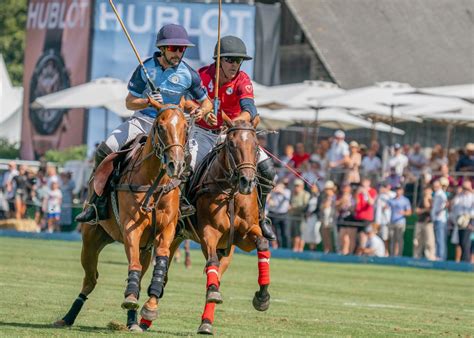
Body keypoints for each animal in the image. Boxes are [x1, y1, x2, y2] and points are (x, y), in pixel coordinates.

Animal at [53, 96, 189, 332]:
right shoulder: (130, 228)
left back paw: (132, 322)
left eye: (185, 127)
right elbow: (132, 264)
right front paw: (131, 298)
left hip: (143, 248)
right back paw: (68, 317)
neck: (154, 182)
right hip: (91, 239)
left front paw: (150, 305)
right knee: (90, 279)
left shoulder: (167, 229)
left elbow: (161, 260)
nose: (177, 164)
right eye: (160, 127)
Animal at [168, 117, 270, 334]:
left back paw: (206, 322)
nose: (247, 181)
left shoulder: (246, 235)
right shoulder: (209, 232)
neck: (231, 192)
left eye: (256, 145)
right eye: (231, 145)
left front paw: (262, 297)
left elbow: (262, 244)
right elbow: (211, 262)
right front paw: (214, 292)